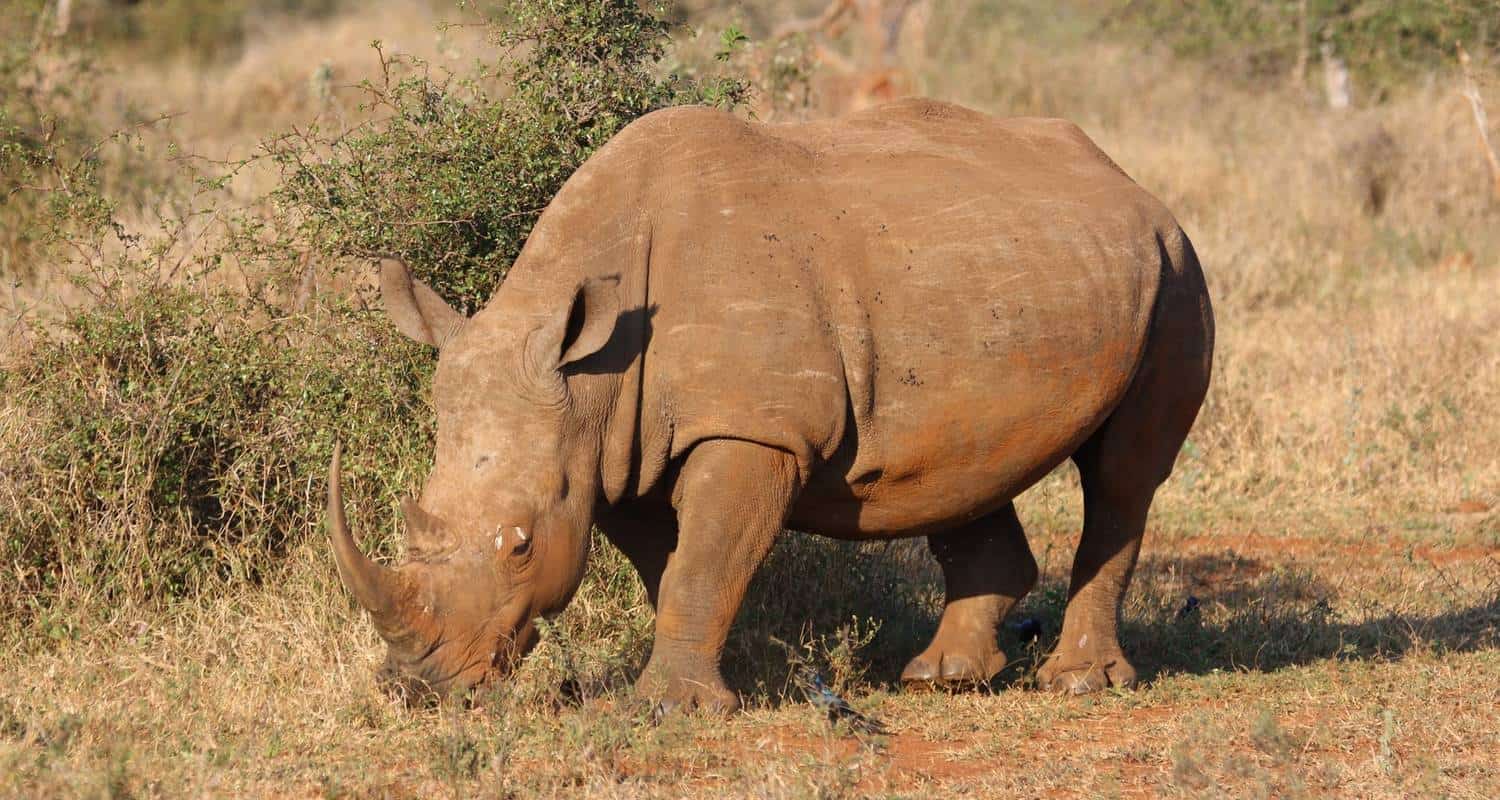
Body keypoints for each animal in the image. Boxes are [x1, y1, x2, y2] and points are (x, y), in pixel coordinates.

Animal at [327, 98, 1214, 711]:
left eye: (520, 546)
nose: (419, 685)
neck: (592, 379)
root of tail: (1131, 183)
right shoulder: (615, 450)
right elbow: (674, 565)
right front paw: (733, 675)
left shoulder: (753, 428)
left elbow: (704, 558)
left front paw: (667, 707)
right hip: (1005, 276)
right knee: (965, 461)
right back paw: (944, 678)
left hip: (1174, 269)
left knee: (1123, 478)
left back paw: (1078, 683)